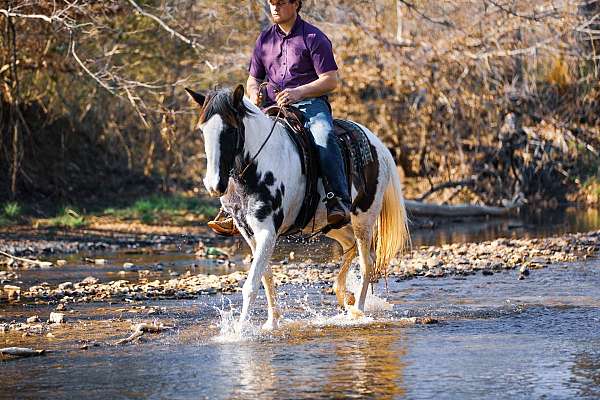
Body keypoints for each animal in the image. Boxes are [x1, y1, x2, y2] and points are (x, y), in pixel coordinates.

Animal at [188, 83, 410, 328]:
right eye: (202, 130)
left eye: (230, 130)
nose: (213, 184)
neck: (257, 167)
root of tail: (377, 144)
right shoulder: (249, 232)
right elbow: (266, 277)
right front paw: (272, 322)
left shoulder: (267, 230)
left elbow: (251, 284)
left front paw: (239, 331)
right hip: (329, 223)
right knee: (349, 244)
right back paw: (344, 295)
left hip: (364, 217)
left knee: (366, 262)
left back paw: (358, 311)